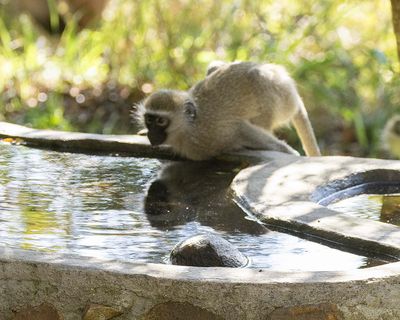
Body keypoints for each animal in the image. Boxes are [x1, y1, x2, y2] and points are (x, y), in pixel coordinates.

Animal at [138, 60, 322, 160]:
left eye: (161, 121)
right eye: (149, 120)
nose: (151, 133)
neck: (188, 127)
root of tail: (295, 95)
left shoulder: (210, 135)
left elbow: (240, 129)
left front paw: (289, 151)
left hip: (283, 98)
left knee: (257, 77)